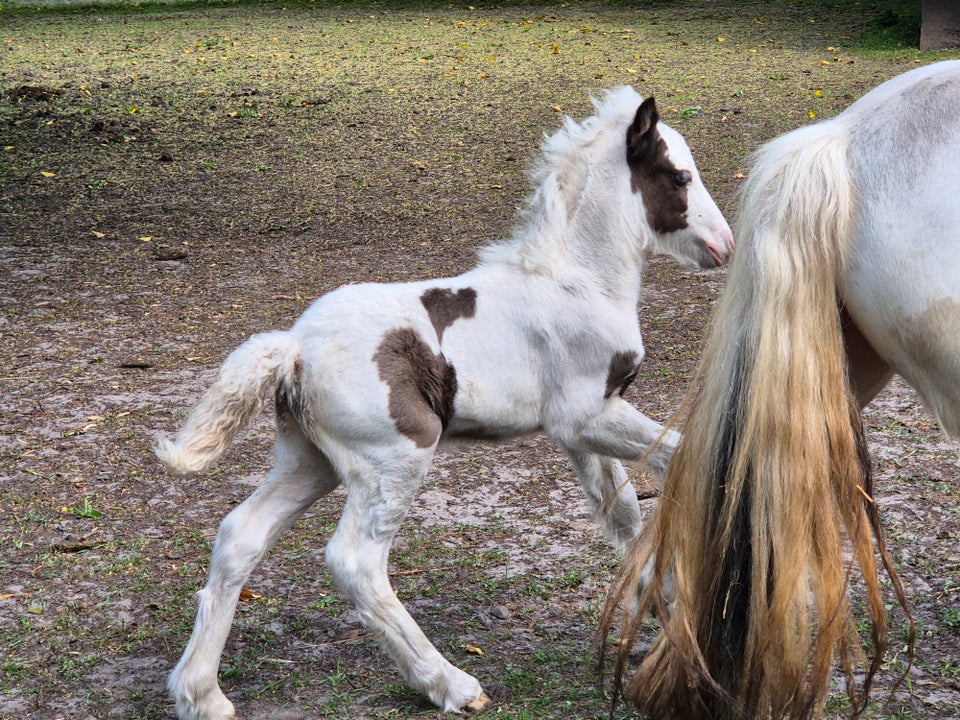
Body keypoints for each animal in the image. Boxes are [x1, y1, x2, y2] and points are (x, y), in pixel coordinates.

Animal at [158, 86, 732, 720]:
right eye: (680, 176)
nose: (724, 246)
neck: (576, 282)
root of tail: (295, 349)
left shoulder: (579, 432)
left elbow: (623, 510)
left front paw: (662, 603)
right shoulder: (585, 415)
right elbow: (676, 455)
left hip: (310, 460)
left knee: (241, 535)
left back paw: (201, 694)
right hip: (394, 459)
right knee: (356, 562)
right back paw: (450, 684)